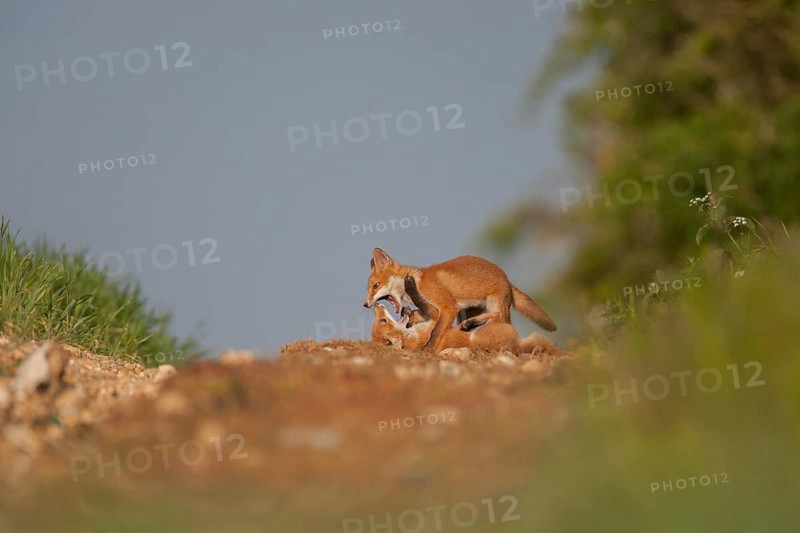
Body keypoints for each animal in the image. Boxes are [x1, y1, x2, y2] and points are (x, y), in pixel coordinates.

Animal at [363, 247, 557, 352]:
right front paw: (412, 315)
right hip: (467, 311)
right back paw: (470, 324)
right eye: (369, 287)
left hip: (495, 305)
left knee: (498, 317)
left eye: (376, 286)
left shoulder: (448, 307)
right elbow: (423, 313)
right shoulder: (439, 311)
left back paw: (472, 324)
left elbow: (435, 332)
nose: (365, 304)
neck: (419, 281)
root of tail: (505, 276)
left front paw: (428, 350)